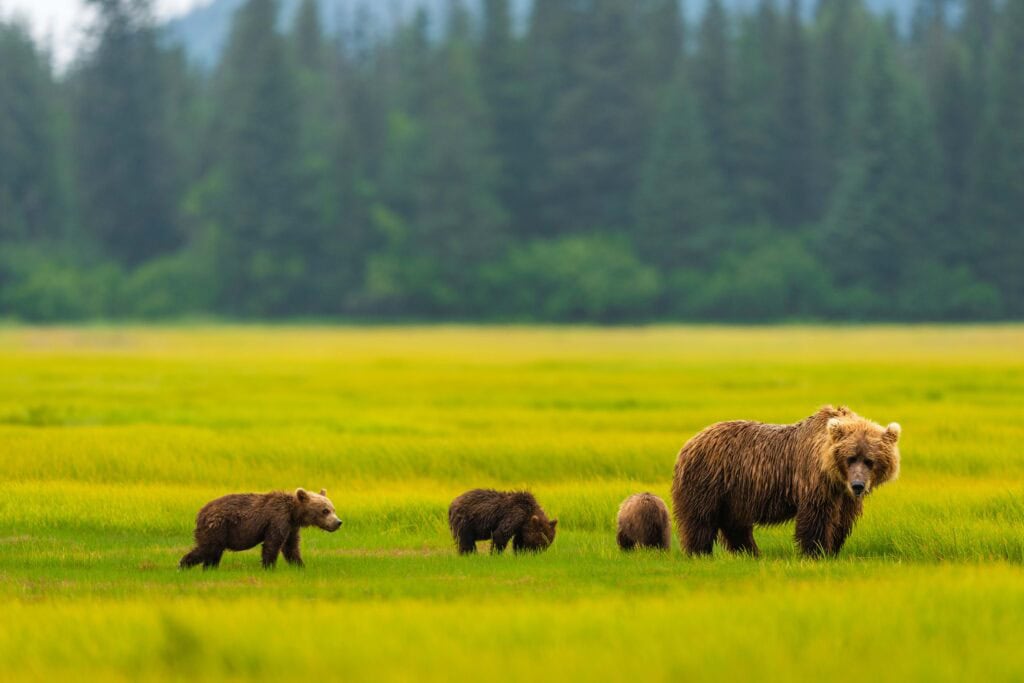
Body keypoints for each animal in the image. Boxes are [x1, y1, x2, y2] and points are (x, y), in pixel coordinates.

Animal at [179, 488, 342, 570]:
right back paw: (183, 565)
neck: (294, 513)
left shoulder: (292, 527)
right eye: (325, 510)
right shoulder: (277, 519)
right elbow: (273, 544)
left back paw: (210, 568)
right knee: (207, 548)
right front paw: (269, 567)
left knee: (214, 552)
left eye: (333, 509)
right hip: (218, 526)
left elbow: (291, 547)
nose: (338, 522)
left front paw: (300, 566)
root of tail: (200, 512)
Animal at [671, 406, 900, 558]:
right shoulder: (814, 480)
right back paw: (700, 552)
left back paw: (750, 552)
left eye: (870, 460)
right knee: (701, 518)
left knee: (735, 523)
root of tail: (690, 442)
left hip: (735, 492)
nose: (858, 485)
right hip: (709, 480)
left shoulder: (844, 496)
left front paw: (833, 549)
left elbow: (842, 520)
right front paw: (815, 552)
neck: (834, 475)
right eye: (850, 457)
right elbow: (817, 516)